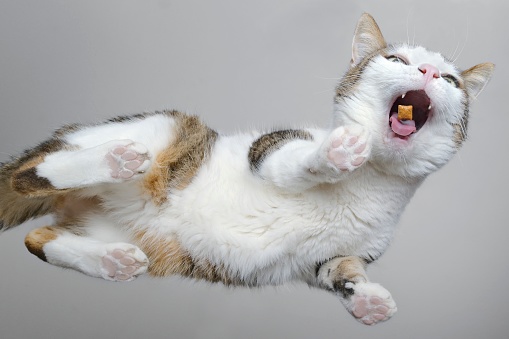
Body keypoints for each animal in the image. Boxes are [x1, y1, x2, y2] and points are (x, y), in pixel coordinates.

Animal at [0, 13, 492, 326]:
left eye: (451, 81)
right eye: (396, 60)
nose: (428, 71)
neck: (372, 184)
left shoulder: (330, 258)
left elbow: (339, 270)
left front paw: (366, 300)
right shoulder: (268, 150)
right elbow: (292, 163)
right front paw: (334, 155)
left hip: (110, 230)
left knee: (37, 237)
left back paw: (109, 260)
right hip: (163, 127)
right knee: (29, 172)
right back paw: (112, 159)